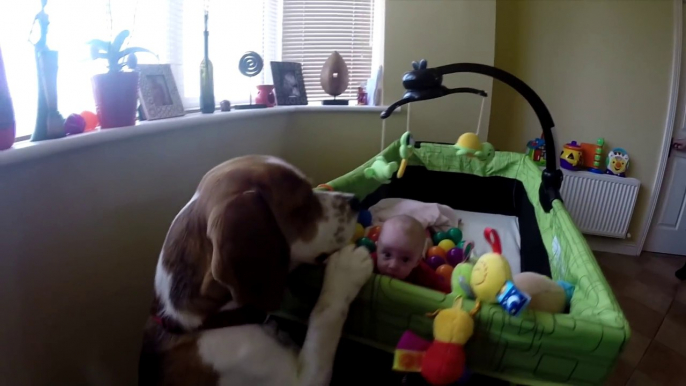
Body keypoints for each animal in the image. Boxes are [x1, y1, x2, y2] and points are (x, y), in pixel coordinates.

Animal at [140, 155, 374, 384]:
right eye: (302, 205)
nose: (355, 200)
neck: (209, 319)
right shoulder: (298, 380)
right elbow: (324, 314)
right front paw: (347, 269)